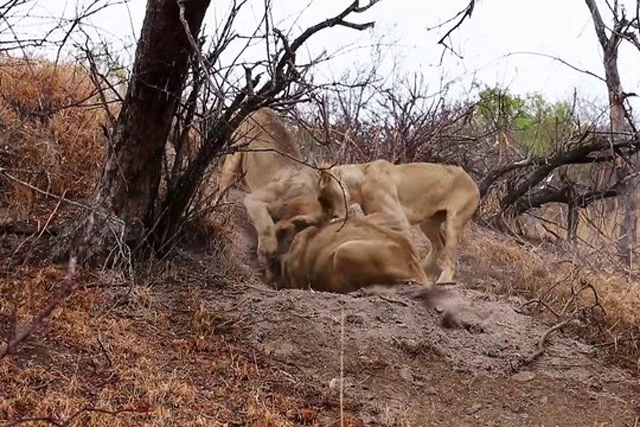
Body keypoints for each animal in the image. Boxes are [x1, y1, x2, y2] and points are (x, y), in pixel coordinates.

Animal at [218, 108, 324, 264]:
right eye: (292, 242)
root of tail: (262, 108)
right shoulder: (255, 200)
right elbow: (266, 225)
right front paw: (266, 252)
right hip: (236, 153)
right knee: (224, 182)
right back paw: (220, 206)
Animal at [318, 159, 478, 286]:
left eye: (324, 199)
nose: (329, 217)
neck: (361, 178)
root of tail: (471, 180)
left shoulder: (396, 215)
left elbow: (364, 221)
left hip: (455, 221)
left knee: (450, 255)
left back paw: (443, 281)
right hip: (428, 223)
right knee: (439, 245)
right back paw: (424, 266)